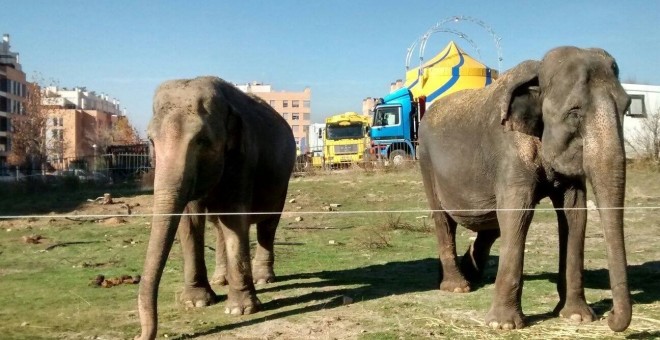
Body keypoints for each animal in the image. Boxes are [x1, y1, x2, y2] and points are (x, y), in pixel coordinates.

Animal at [137, 75, 294, 338]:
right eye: (150, 140)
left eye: (202, 141)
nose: (140, 335)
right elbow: (190, 220)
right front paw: (196, 302)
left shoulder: (243, 157)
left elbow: (234, 217)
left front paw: (241, 310)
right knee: (219, 225)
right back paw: (221, 279)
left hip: (282, 180)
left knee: (268, 223)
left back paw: (263, 279)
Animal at [420, 46, 632, 330]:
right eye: (574, 113)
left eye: (627, 107)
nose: (609, 315)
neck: (538, 72)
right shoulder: (508, 148)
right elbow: (518, 212)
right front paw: (503, 325)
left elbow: (575, 213)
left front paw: (578, 316)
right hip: (426, 161)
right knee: (443, 220)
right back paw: (457, 286)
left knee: (490, 224)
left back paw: (470, 275)